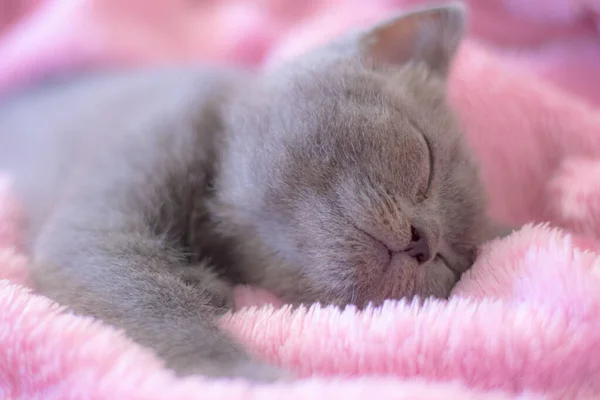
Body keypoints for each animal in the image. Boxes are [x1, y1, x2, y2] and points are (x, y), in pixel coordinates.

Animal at [0, 3, 500, 382]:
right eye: (426, 158)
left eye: (452, 261)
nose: (425, 240)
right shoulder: (99, 226)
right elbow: (156, 307)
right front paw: (252, 377)